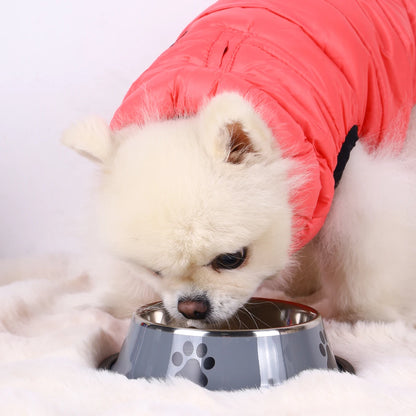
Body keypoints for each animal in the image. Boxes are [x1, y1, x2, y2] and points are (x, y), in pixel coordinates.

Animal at [61, 0, 416, 324]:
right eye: (155, 270)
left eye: (232, 259)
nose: (192, 307)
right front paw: (119, 303)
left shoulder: (353, 174)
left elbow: (366, 251)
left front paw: (368, 314)